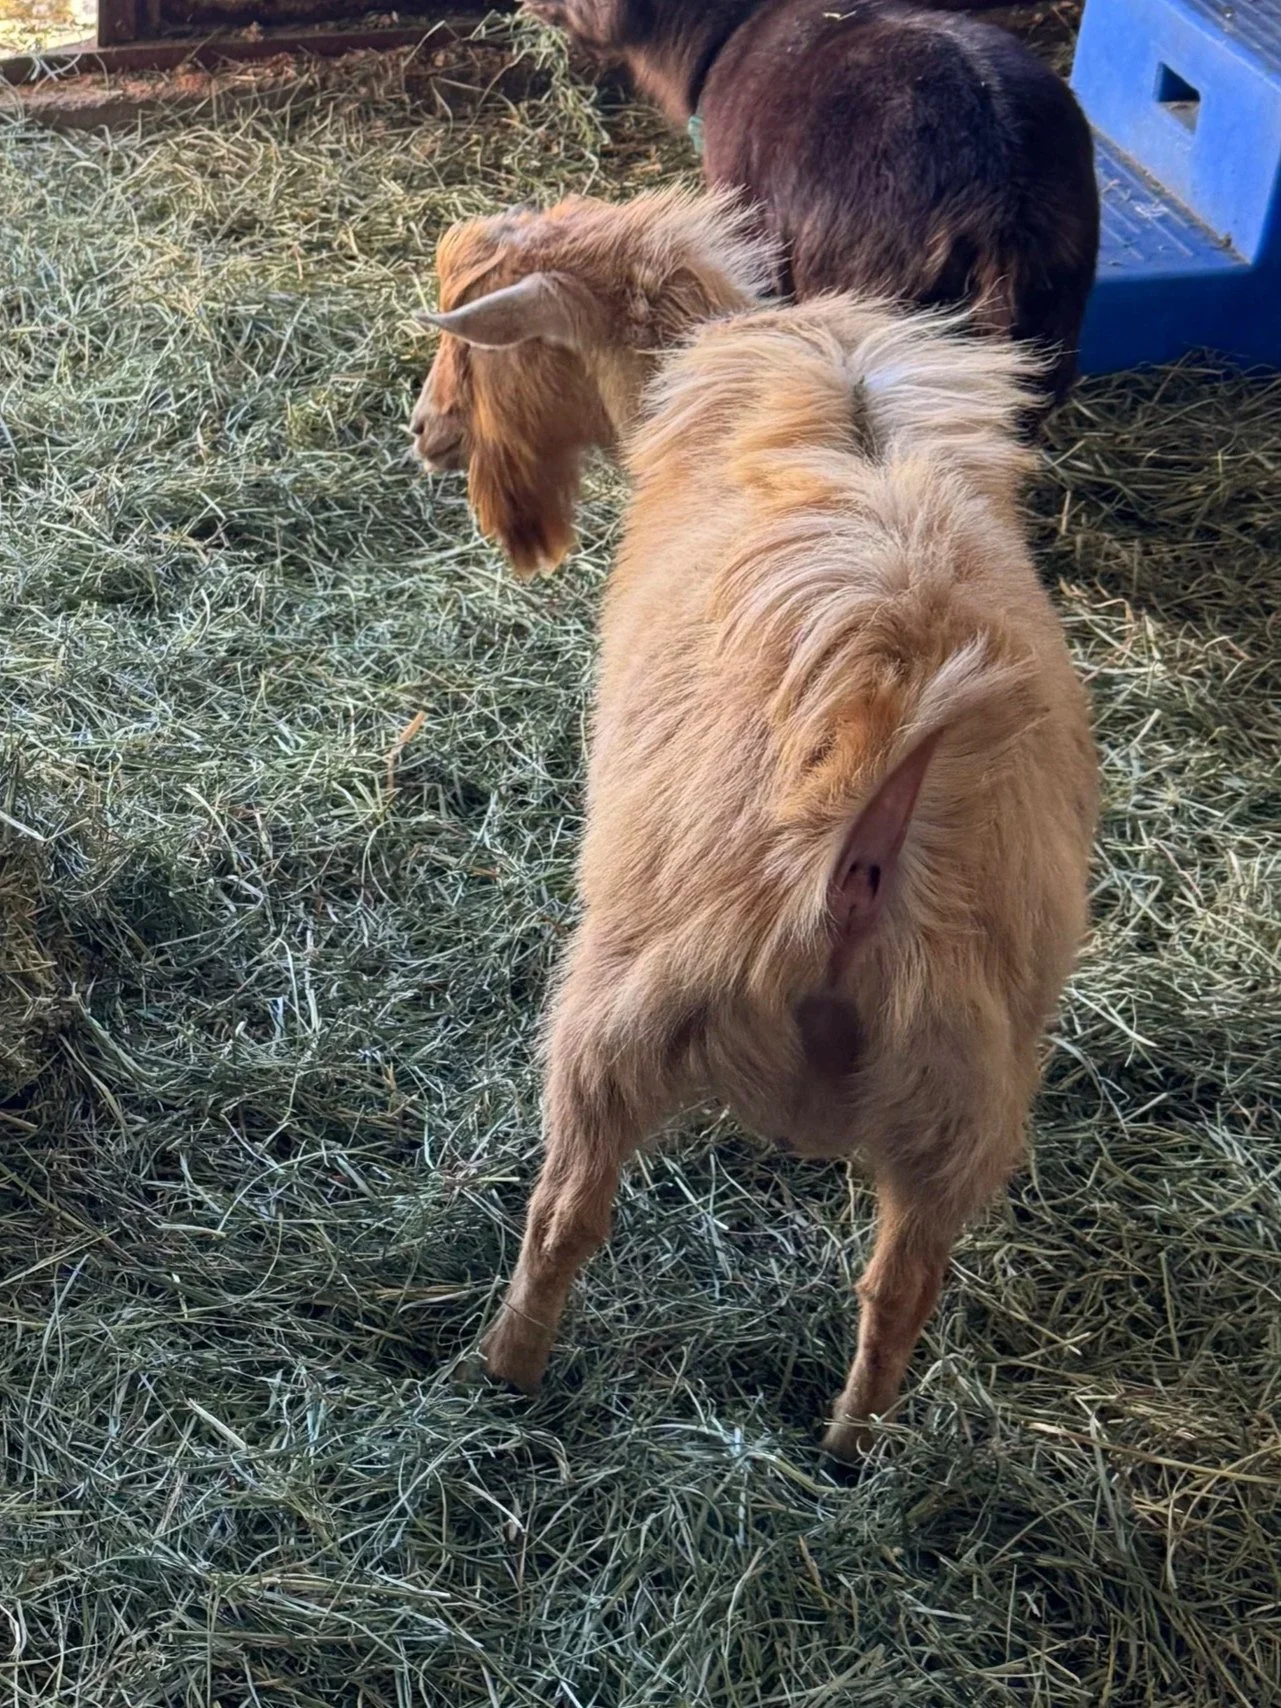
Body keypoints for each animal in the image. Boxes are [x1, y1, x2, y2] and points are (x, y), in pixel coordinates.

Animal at [429, 237, 1097, 1456]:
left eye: (482, 348)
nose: (427, 436)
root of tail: (863, 848)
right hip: (964, 1100)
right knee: (901, 1287)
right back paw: (849, 1449)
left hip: (615, 1021)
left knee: (566, 1217)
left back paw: (502, 1373)